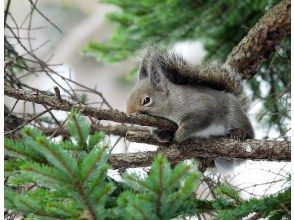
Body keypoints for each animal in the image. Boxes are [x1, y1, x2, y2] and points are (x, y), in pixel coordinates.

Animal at [126, 44, 255, 172]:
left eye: (146, 100)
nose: (128, 113)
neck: (171, 103)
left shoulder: (202, 110)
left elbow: (193, 124)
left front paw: (179, 136)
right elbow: (156, 131)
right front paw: (163, 136)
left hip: (235, 116)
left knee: (248, 134)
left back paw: (238, 133)